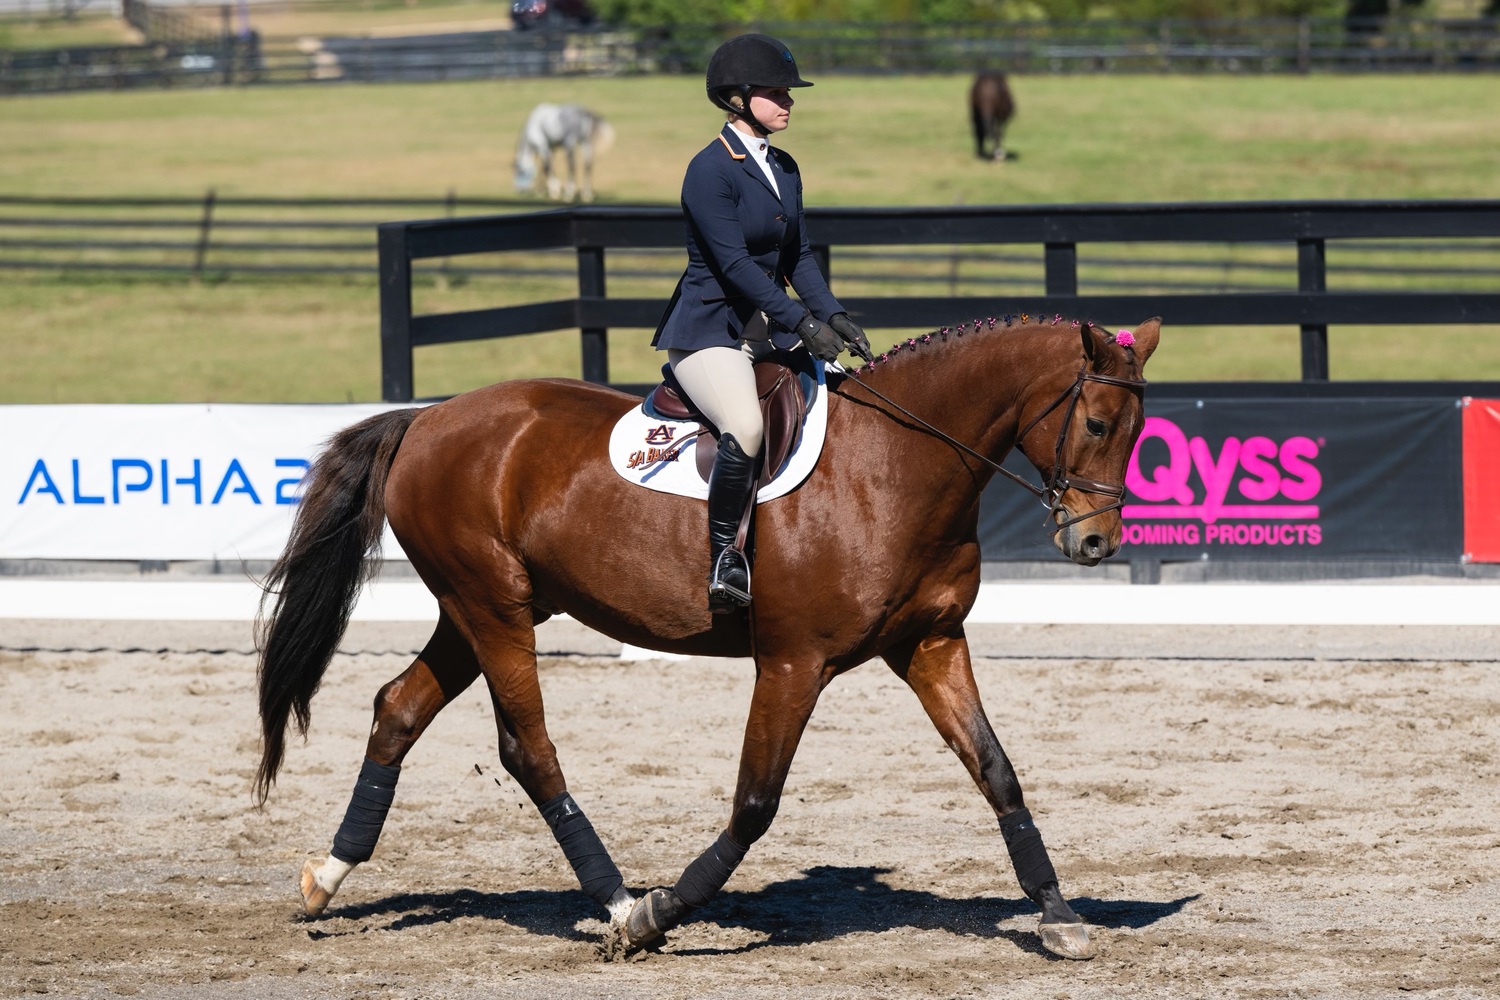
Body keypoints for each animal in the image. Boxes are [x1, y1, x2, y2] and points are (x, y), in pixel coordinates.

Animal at [255, 313, 1158, 959]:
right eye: (1099, 424)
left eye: (1138, 432)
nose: (1095, 544)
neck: (895, 464)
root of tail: (428, 417)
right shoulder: (794, 662)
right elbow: (755, 804)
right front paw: (657, 915)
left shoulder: (930, 645)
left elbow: (997, 771)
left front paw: (1059, 914)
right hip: (493, 610)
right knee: (529, 748)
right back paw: (618, 899)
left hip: (478, 610)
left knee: (400, 708)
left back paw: (325, 878)